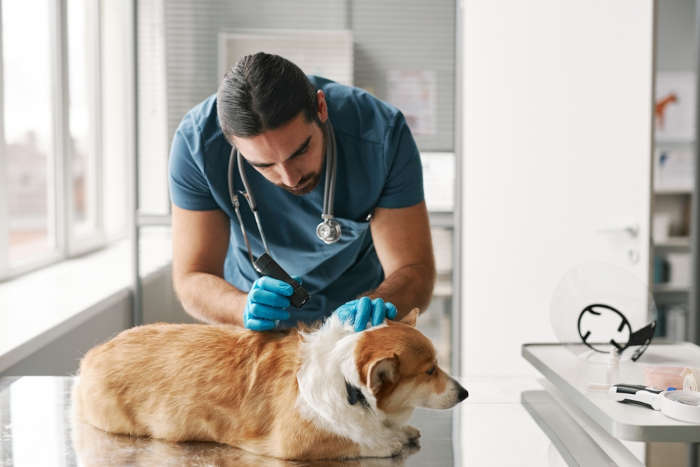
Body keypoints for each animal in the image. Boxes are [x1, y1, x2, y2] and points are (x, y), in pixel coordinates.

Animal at [74, 308, 468, 460]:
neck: (348, 384)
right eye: (430, 371)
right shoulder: (298, 441)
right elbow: (358, 441)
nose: (465, 393)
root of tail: (91, 355)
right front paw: (389, 440)